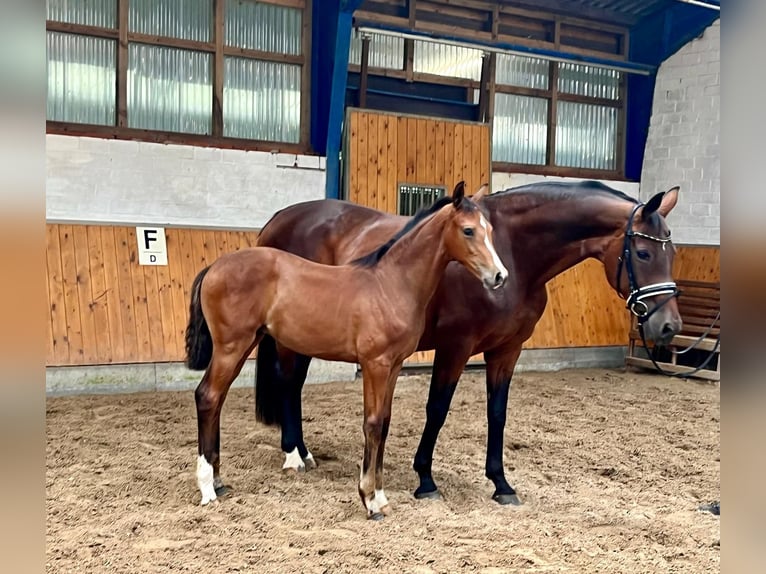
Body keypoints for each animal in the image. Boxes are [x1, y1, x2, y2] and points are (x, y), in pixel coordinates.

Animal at [184, 182, 510, 520]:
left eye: (490, 229)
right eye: (468, 230)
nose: (499, 276)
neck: (390, 284)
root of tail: (214, 266)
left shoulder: (393, 366)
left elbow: (385, 422)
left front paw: (381, 497)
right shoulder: (375, 365)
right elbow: (373, 423)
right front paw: (369, 499)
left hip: (244, 344)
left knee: (217, 400)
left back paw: (219, 480)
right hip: (231, 347)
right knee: (208, 396)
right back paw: (208, 487)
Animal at [255, 181, 688, 508]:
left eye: (673, 252)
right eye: (643, 252)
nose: (669, 326)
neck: (517, 252)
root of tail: (278, 220)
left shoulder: (507, 350)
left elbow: (498, 413)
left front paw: (501, 484)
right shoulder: (456, 347)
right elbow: (437, 410)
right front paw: (425, 479)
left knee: (294, 385)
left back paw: (303, 452)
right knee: (289, 382)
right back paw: (293, 455)